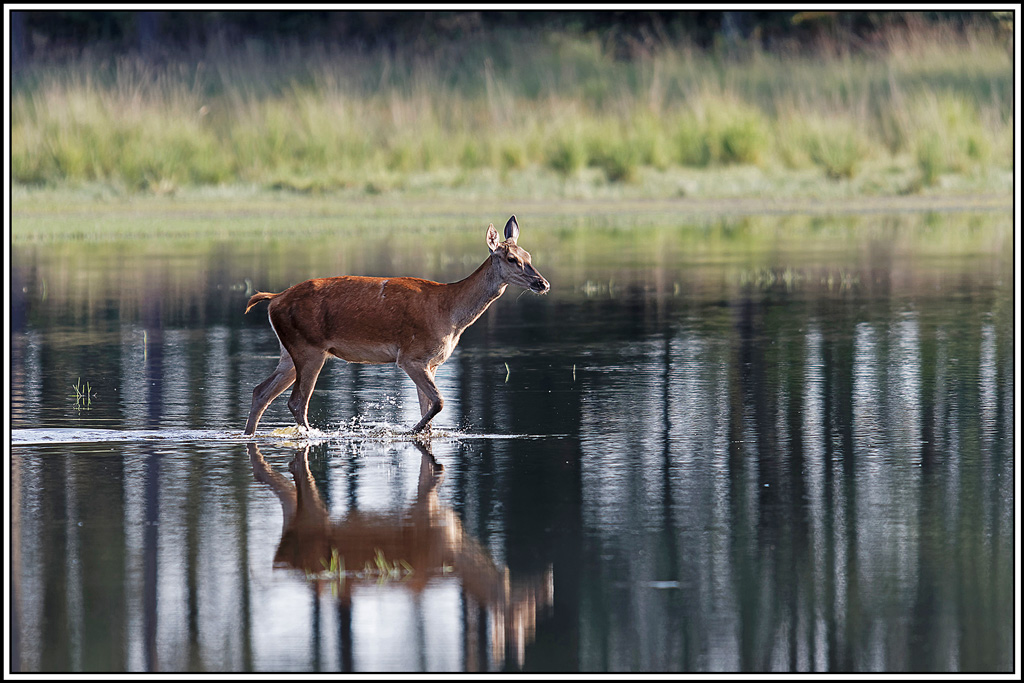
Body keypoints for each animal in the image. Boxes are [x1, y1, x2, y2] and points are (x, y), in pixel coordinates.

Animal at [243, 215, 549, 436]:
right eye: (512, 258)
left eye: (530, 256)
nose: (542, 283)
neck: (450, 314)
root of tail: (274, 299)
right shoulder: (411, 356)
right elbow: (439, 402)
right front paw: (407, 431)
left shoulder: (432, 362)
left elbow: (429, 408)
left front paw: (421, 432)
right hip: (309, 347)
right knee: (296, 401)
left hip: (290, 351)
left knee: (260, 392)